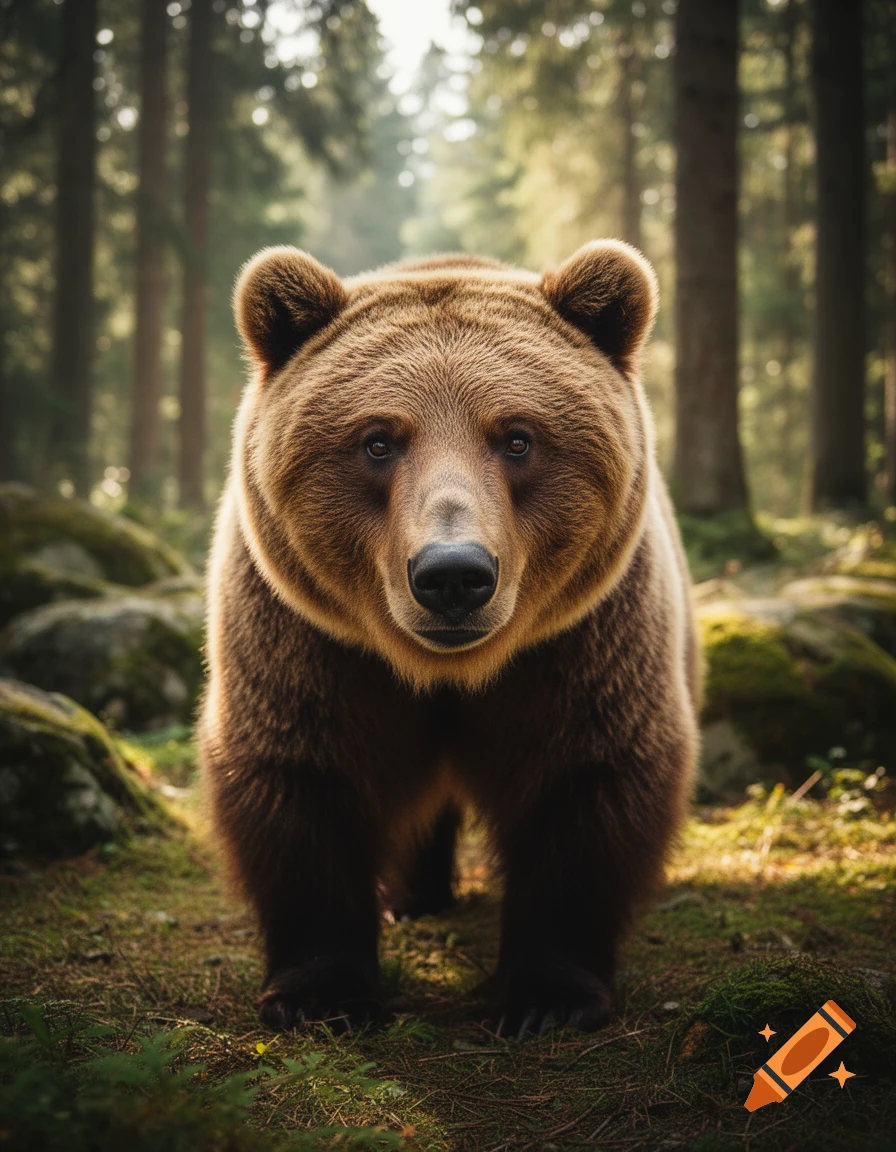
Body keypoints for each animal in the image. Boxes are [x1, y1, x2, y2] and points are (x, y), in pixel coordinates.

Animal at [198, 239, 701, 1037]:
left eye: (518, 437)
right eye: (378, 440)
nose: (454, 574)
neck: (447, 671)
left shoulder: (582, 645)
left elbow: (586, 777)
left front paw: (548, 997)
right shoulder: (309, 644)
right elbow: (302, 775)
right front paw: (320, 995)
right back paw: (414, 894)